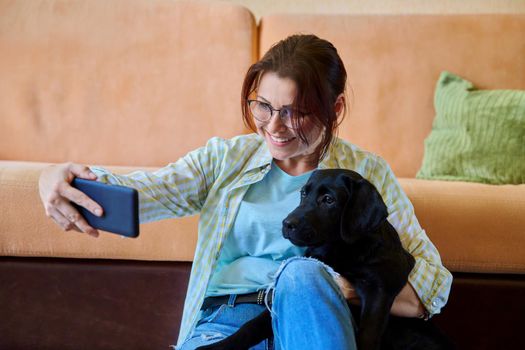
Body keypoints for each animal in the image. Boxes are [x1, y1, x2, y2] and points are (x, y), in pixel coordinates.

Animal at [195, 168, 450, 348]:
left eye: (328, 200)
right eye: (303, 193)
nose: (286, 224)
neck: (341, 250)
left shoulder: (380, 289)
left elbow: (367, 335)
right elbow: (252, 325)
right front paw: (217, 347)